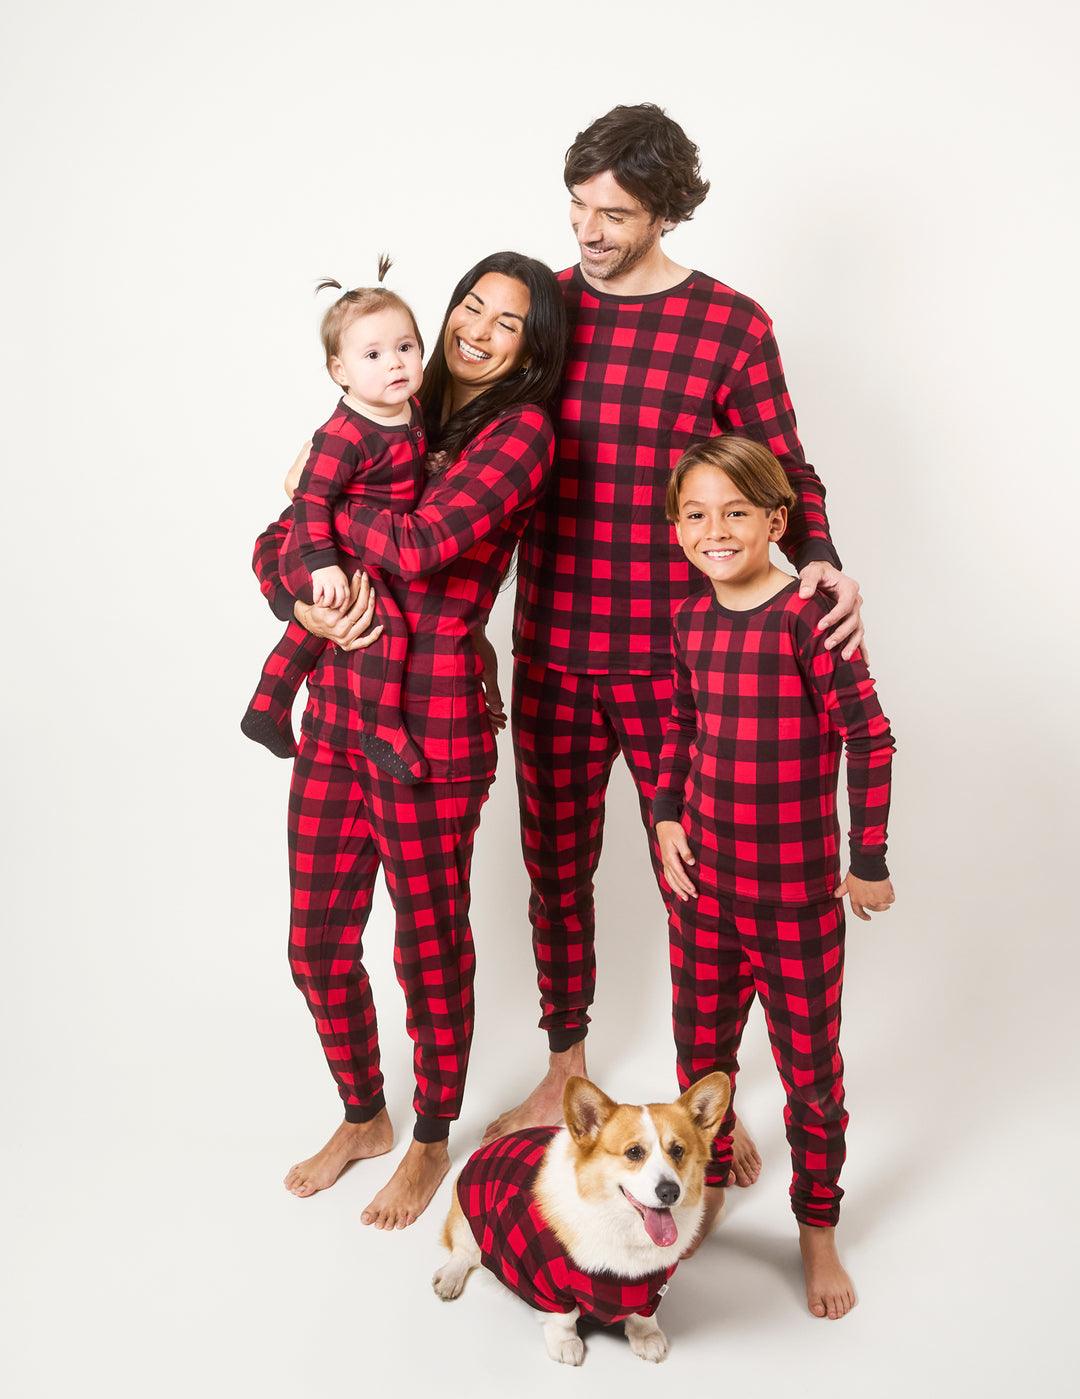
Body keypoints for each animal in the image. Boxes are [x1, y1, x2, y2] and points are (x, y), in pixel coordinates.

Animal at [428, 1074, 727, 1359]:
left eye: (678, 1151)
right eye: (634, 1152)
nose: (670, 1192)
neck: (623, 1228)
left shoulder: (653, 1286)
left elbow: (644, 1315)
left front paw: (647, 1337)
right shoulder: (544, 1279)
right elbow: (563, 1319)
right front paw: (565, 1345)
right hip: (466, 1218)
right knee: (465, 1252)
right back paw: (450, 1279)